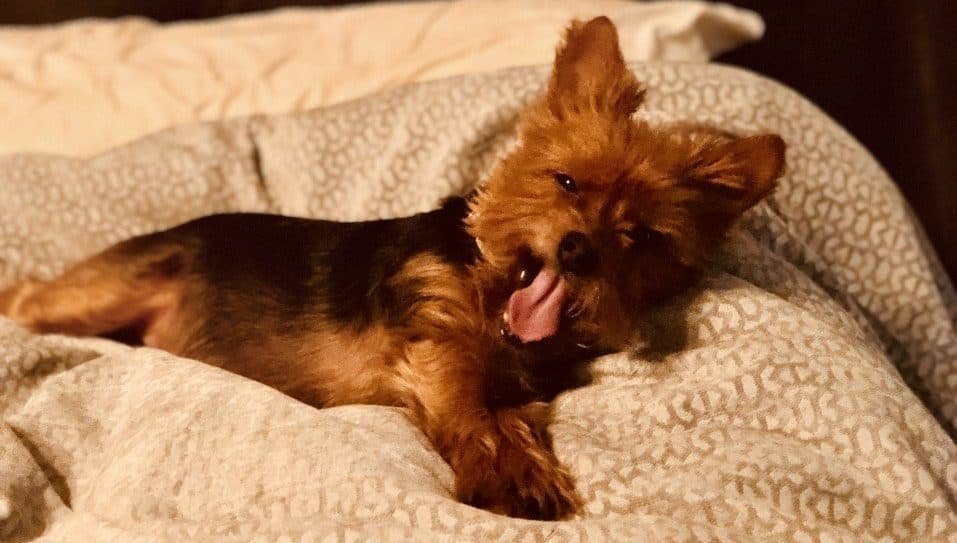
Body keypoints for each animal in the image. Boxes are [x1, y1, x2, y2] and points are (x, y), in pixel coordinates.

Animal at [0, 15, 784, 520]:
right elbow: (470, 407)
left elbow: (515, 416)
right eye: (565, 182)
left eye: (638, 237)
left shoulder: (521, 385)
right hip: (101, 291)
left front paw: (524, 459)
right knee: (29, 296)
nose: (577, 248)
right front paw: (506, 475)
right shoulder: (432, 344)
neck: (490, 292)